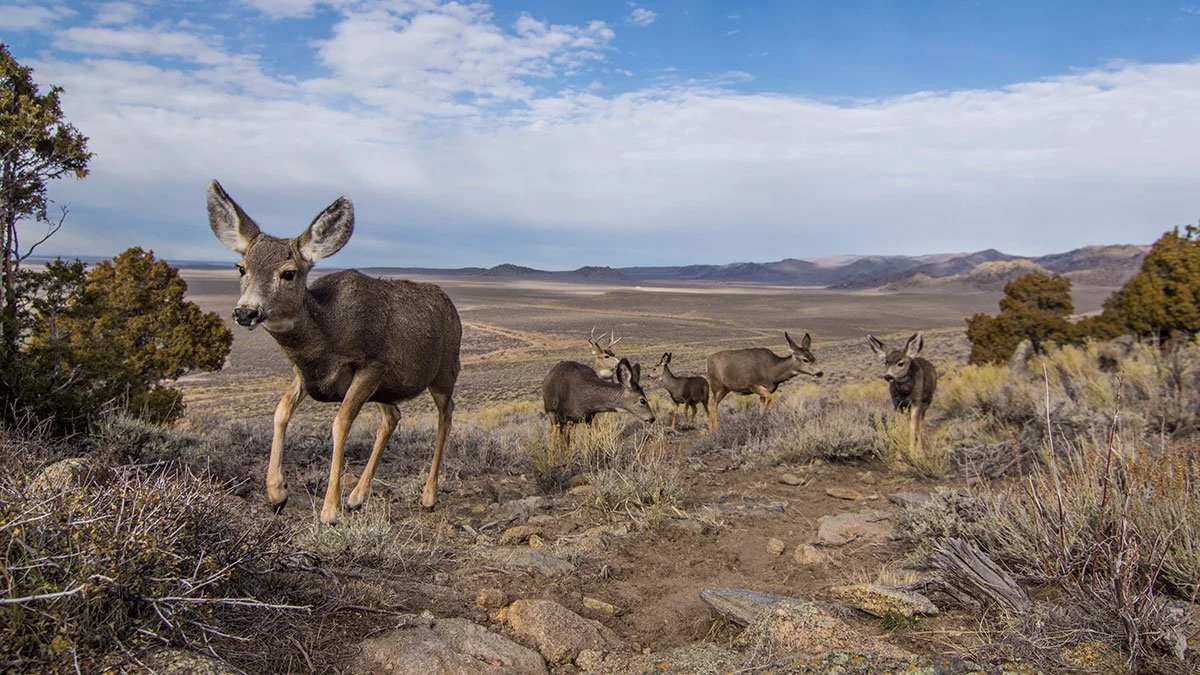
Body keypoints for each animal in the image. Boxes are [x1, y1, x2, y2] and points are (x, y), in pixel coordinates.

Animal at [206, 179, 461, 525]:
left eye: (288, 272)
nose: (246, 311)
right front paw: (277, 492)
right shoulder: (306, 374)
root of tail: (452, 307)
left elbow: (340, 423)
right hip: (388, 390)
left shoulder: (372, 365)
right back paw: (358, 497)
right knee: (392, 417)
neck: (327, 330)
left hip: (445, 371)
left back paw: (428, 495)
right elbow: (282, 410)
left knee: (445, 415)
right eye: (241, 268)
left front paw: (329, 510)